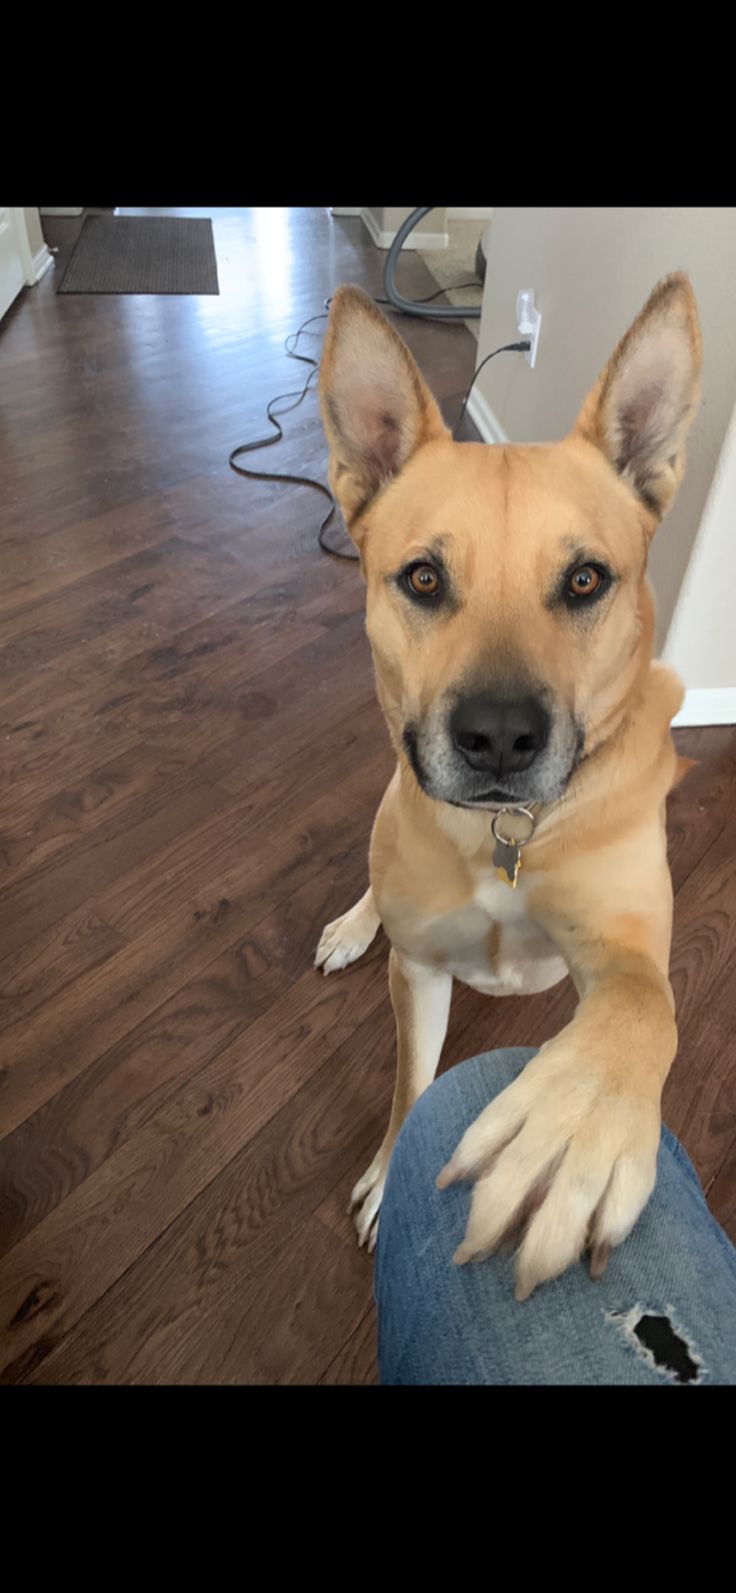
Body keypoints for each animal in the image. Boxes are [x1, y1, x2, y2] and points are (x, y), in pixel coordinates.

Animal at [315, 270, 700, 1293]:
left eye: (585, 580)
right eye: (421, 577)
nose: (497, 739)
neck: (511, 832)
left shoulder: (623, 949)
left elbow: (643, 1006)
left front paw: (575, 1119)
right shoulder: (418, 969)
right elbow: (411, 1083)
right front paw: (392, 1172)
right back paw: (350, 921)